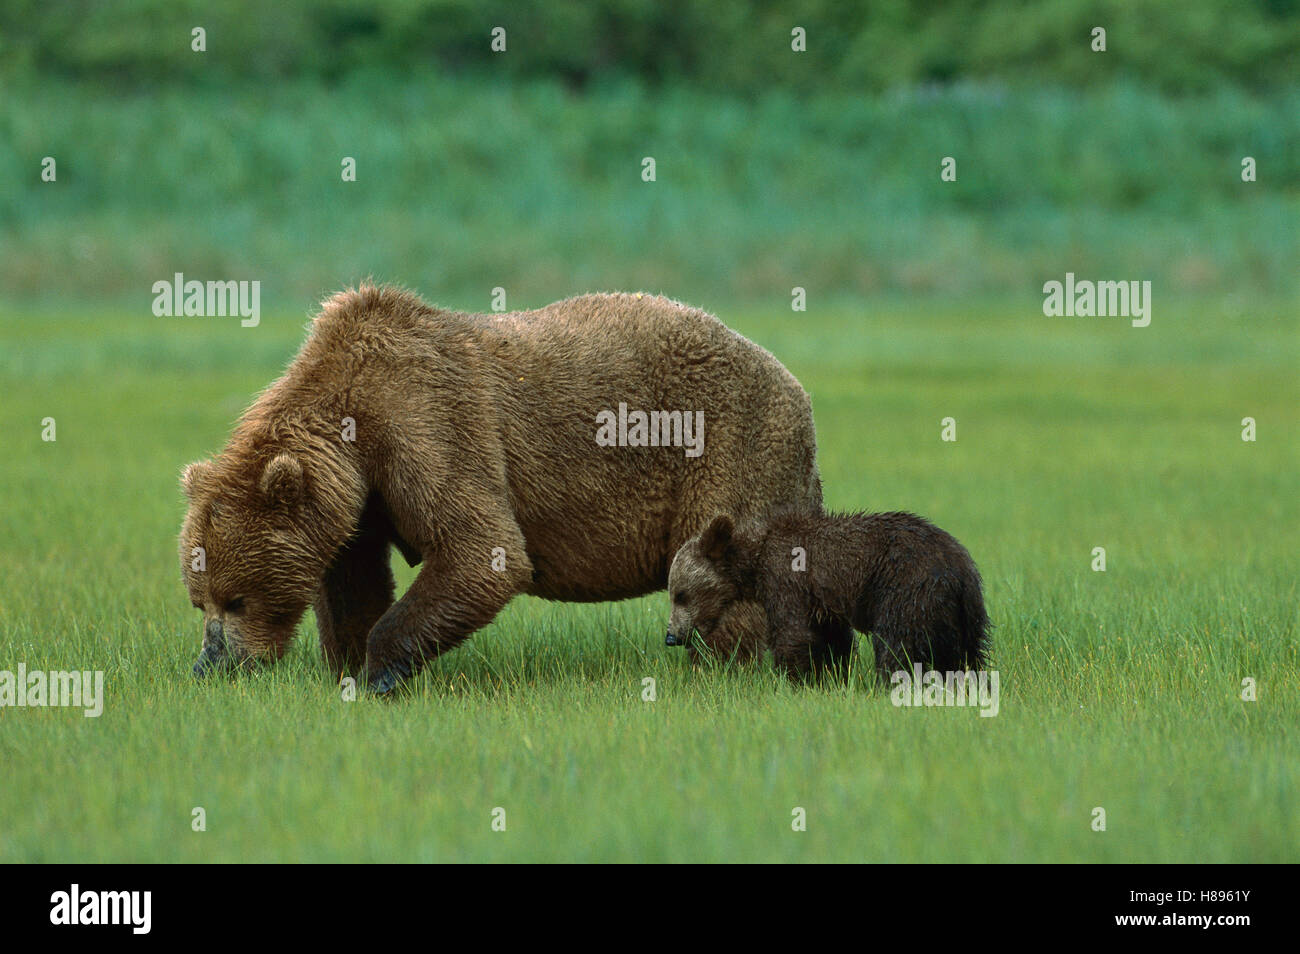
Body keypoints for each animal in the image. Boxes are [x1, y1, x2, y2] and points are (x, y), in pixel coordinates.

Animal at [179, 283, 824, 692]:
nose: (212, 664)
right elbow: (350, 581)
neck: (351, 421)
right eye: (199, 598)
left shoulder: (428, 424)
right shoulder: (362, 498)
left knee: (724, 566)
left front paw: (382, 671)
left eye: (237, 598)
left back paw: (722, 667)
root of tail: (795, 384)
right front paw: (347, 665)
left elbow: (484, 547)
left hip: (729, 445)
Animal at [665, 511, 990, 682]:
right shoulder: (821, 602)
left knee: (897, 645)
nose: (672, 636)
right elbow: (831, 638)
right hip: (966, 615)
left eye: (679, 594)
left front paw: (793, 679)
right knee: (967, 656)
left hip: (908, 589)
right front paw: (830, 676)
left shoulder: (787, 581)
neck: (754, 560)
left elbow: (792, 633)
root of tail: (959, 569)